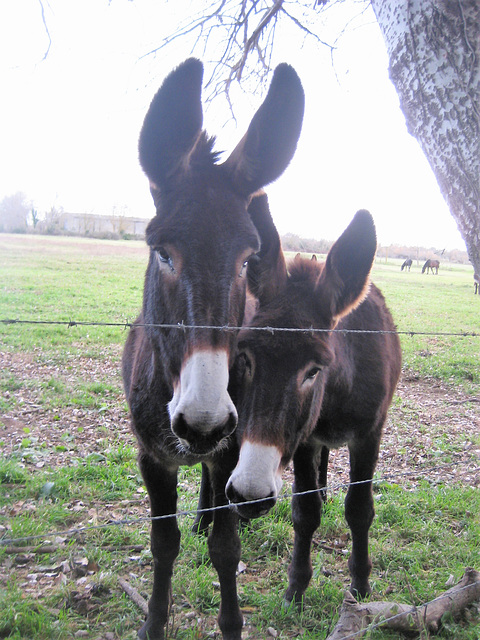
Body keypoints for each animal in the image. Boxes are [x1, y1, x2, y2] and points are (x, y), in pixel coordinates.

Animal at [122, 60, 306, 640]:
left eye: (248, 260)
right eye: (162, 252)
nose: (202, 422)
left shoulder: (230, 446)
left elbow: (228, 549)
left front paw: (230, 623)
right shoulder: (152, 458)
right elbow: (163, 544)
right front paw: (153, 623)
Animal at [226, 195, 402, 604]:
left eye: (314, 370)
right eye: (246, 357)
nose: (248, 495)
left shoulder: (369, 434)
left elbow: (360, 510)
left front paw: (360, 584)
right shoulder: (305, 438)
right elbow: (304, 512)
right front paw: (296, 586)